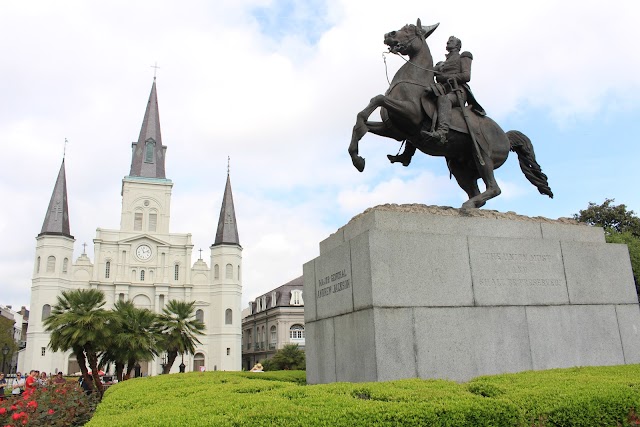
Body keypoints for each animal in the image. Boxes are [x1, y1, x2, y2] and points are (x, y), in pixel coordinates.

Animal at [348, 19, 552, 210]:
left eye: (410, 29)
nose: (388, 34)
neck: (412, 80)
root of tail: (506, 137)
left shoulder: (410, 114)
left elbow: (378, 99)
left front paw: (358, 152)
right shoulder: (395, 131)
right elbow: (362, 123)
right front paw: (357, 159)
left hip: (483, 155)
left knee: (494, 188)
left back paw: (468, 205)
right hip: (460, 166)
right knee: (476, 191)